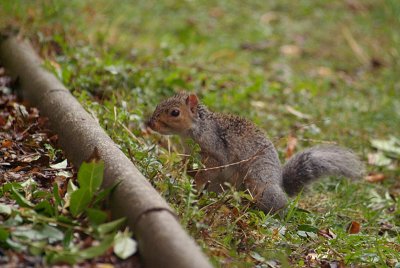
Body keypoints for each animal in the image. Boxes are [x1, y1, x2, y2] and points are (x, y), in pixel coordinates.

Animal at [146, 92, 362, 214]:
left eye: (175, 112)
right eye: (158, 104)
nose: (150, 123)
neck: (197, 129)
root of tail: (279, 184)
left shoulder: (215, 154)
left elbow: (208, 172)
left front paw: (194, 186)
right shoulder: (188, 153)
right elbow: (186, 164)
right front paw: (177, 172)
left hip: (258, 183)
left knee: (278, 205)